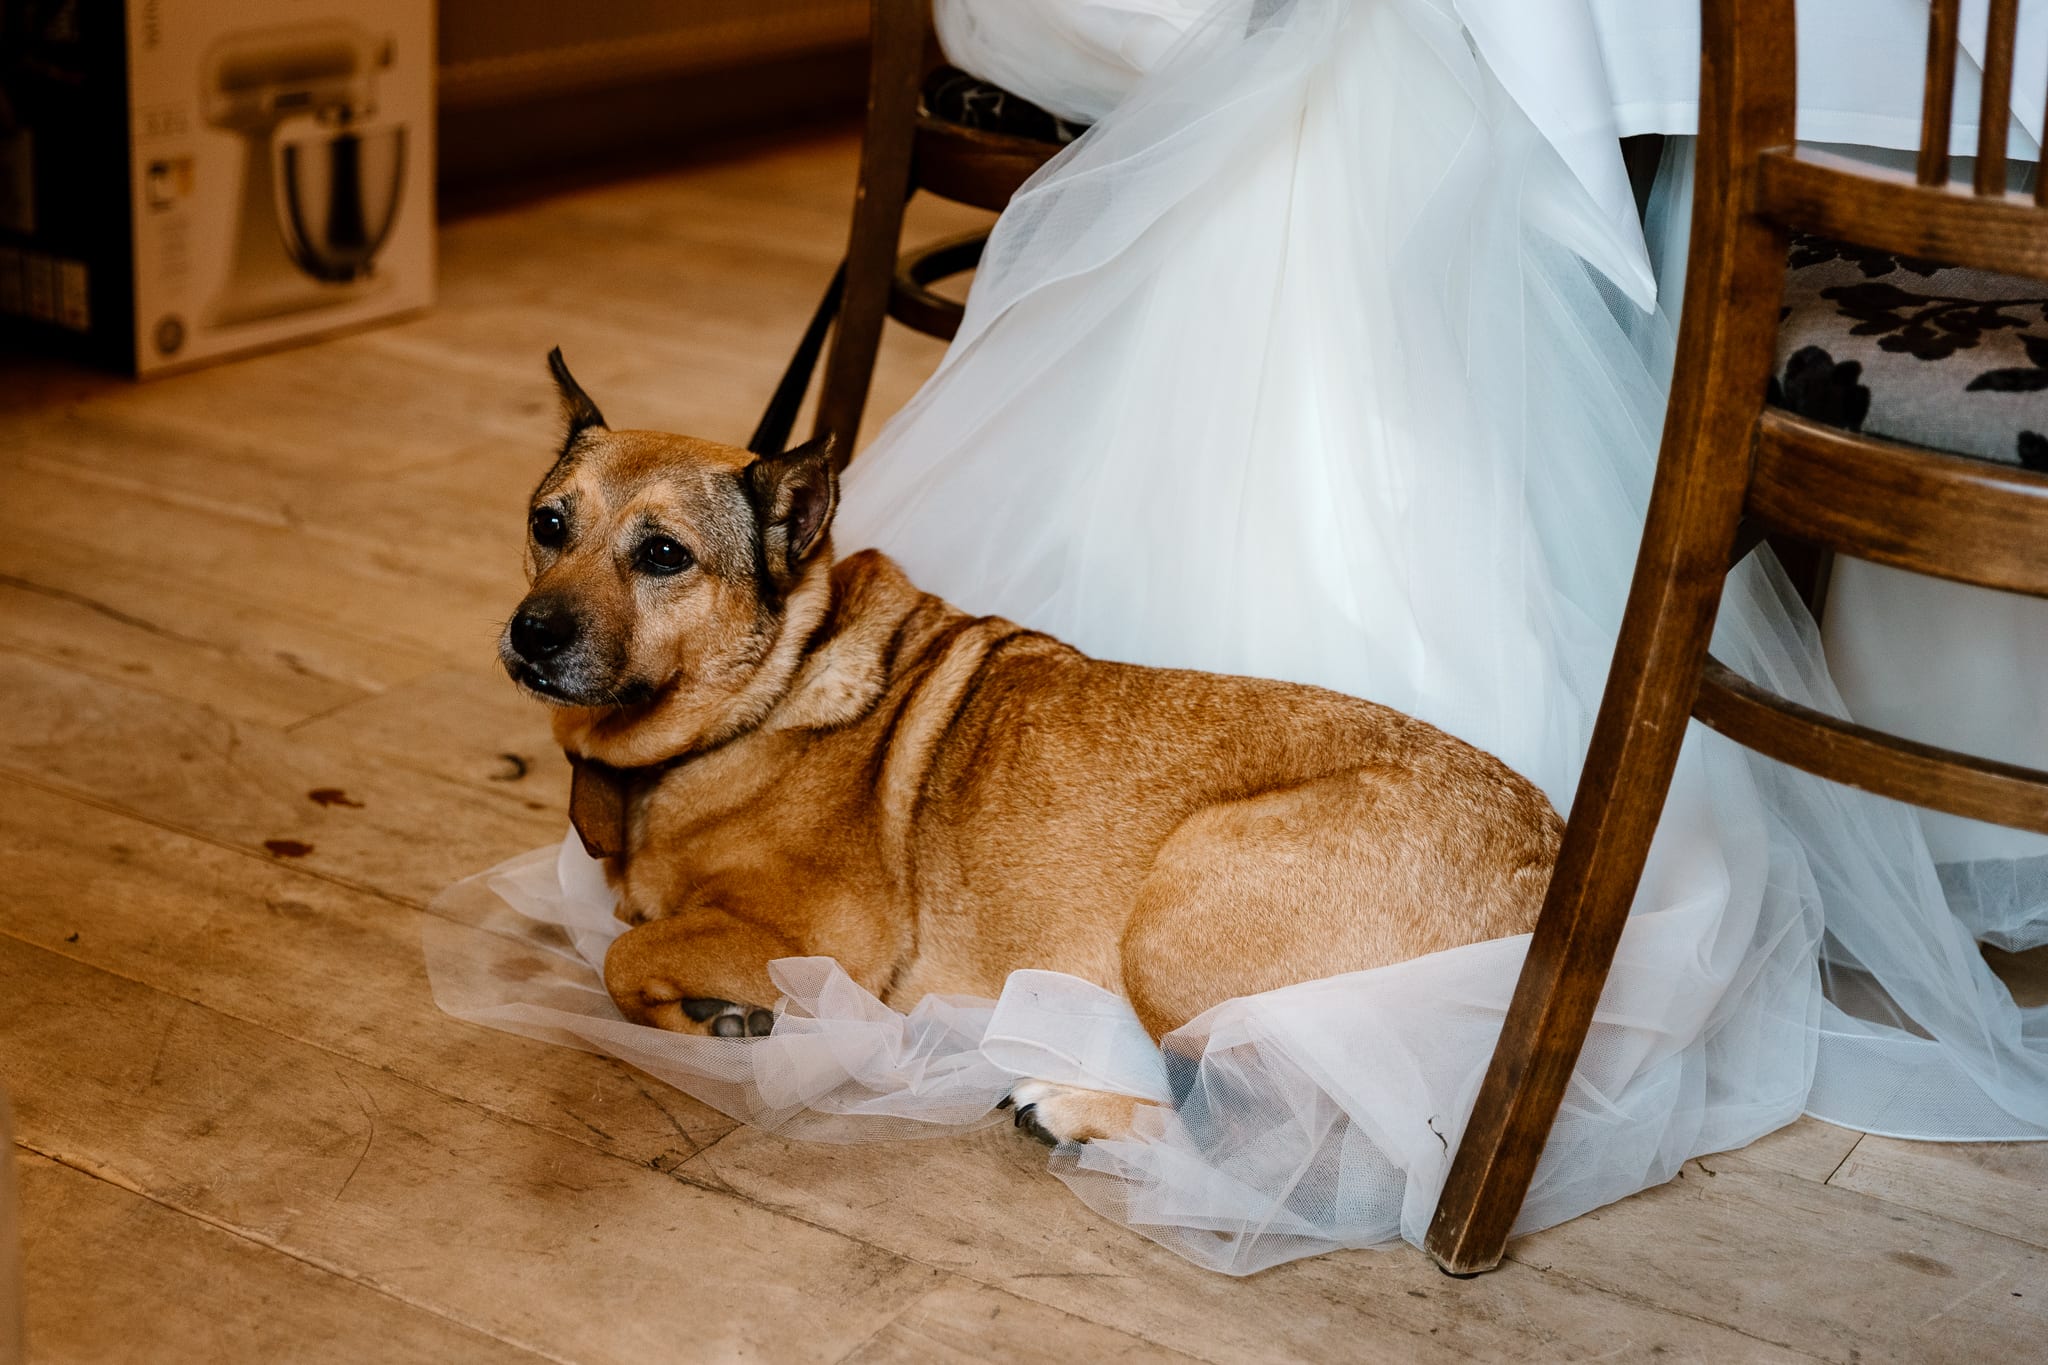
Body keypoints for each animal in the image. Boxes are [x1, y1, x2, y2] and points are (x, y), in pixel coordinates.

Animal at [503, 351, 1556, 1146]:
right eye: (548, 524)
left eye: (665, 555)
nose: (531, 633)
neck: (770, 687)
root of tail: (1545, 861)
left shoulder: (821, 943)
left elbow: (624, 955)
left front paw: (720, 1015)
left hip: (1179, 913)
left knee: (1271, 1127)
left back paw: (1076, 1108)